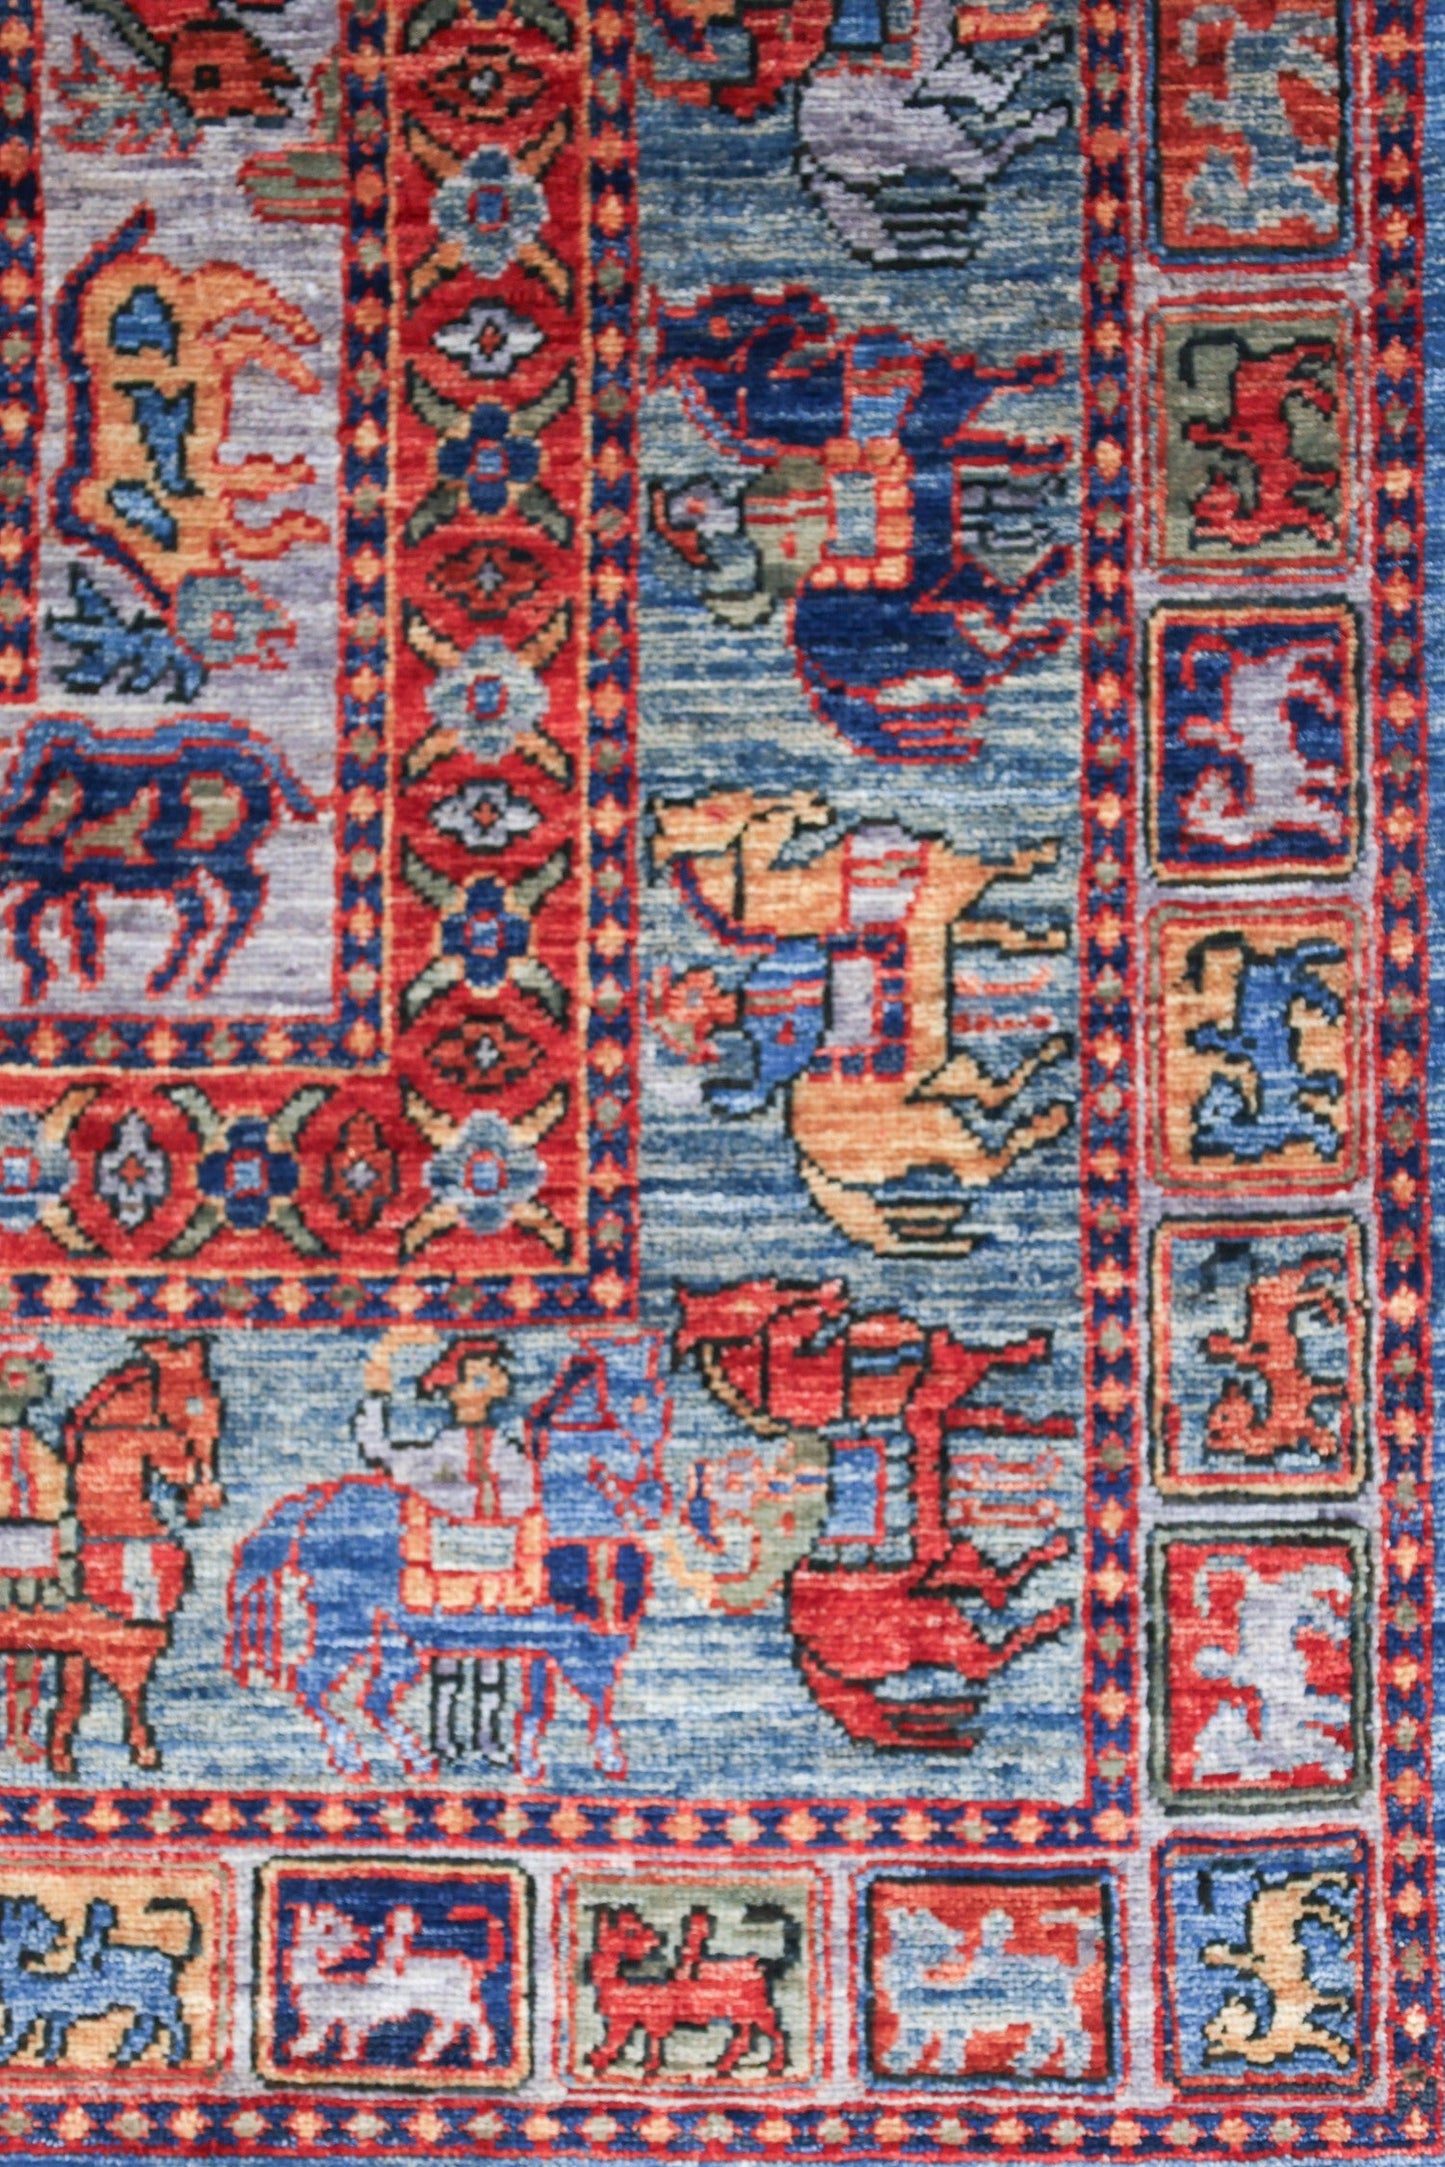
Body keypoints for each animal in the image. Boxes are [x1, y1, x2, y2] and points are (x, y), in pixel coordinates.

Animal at [0, 1337, 223, 1776]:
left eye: (216, 1405)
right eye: (189, 1405)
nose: (209, 1493)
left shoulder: (75, 1643)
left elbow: (70, 1699)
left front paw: (60, 1755)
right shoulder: (118, 1636)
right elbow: (130, 1692)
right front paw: (144, 1750)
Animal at [228, 1339, 669, 1782]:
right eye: (640, 1402)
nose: (656, 1499)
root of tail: (318, 1501)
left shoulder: (548, 1641)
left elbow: (555, 1701)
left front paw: (534, 1759)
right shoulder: (567, 1639)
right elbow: (587, 1697)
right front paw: (601, 1758)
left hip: (398, 1637)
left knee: (373, 1696)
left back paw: (419, 1757)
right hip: (346, 1618)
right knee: (313, 1680)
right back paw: (357, 1758)